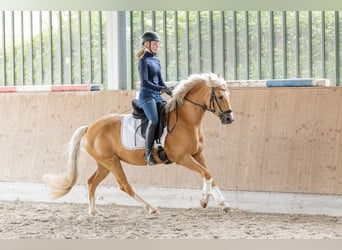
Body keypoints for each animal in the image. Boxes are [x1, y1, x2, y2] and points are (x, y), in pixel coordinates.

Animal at [42, 72, 234, 215]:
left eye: (228, 95)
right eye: (219, 96)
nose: (229, 119)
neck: (187, 121)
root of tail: (90, 127)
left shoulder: (197, 154)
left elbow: (209, 174)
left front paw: (223, 204)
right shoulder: (182, 158)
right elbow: (206, 173)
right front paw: (204, 200)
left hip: (104, 164)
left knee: (91, 182)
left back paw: (93, 211)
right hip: (112, 162)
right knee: (125, 186)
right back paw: (151, 209)